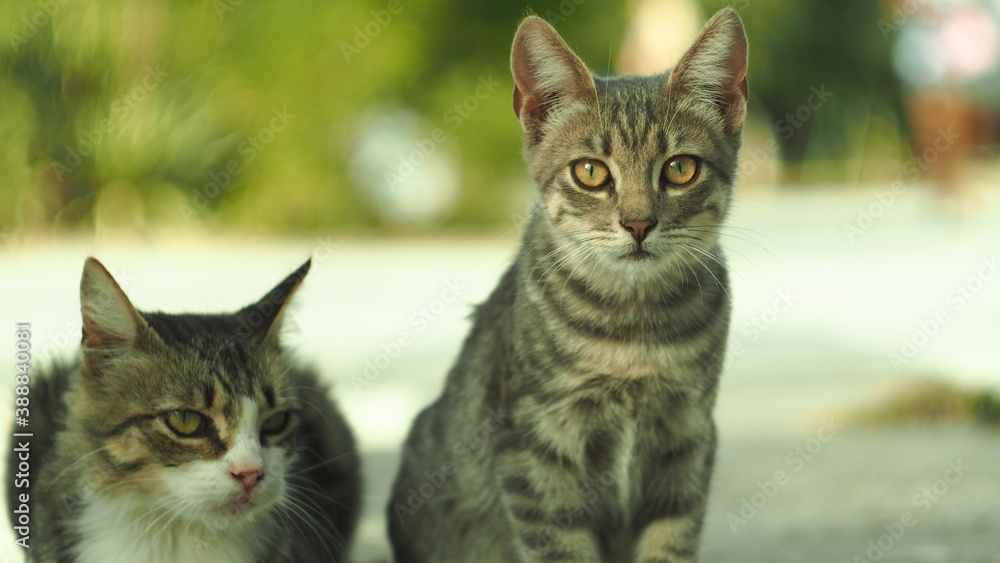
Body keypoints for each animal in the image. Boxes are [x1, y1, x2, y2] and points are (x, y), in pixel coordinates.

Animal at [386, 8, 748, 563]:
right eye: (590, 172)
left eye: (681, 168)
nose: (638, 223)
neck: (633, 328)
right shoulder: (532, 446)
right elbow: (561, 546)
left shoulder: (687, 436)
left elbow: (670, 539)